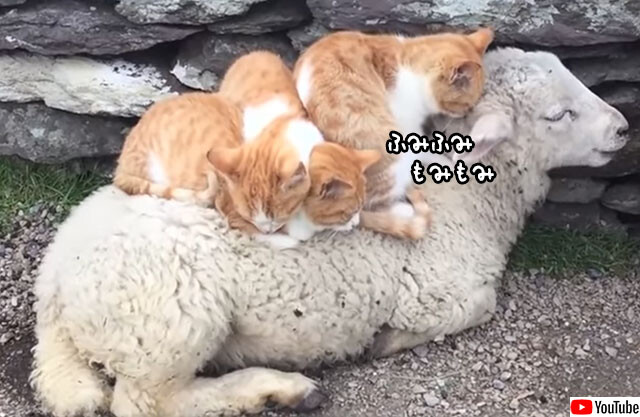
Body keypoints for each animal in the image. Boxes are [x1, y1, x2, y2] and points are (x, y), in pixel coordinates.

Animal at [294, 27, 496, 239]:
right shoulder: (407, 131)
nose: (467, 113)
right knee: (372, 205)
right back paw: (402, 209)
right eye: (466, 106)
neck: (407, 63)